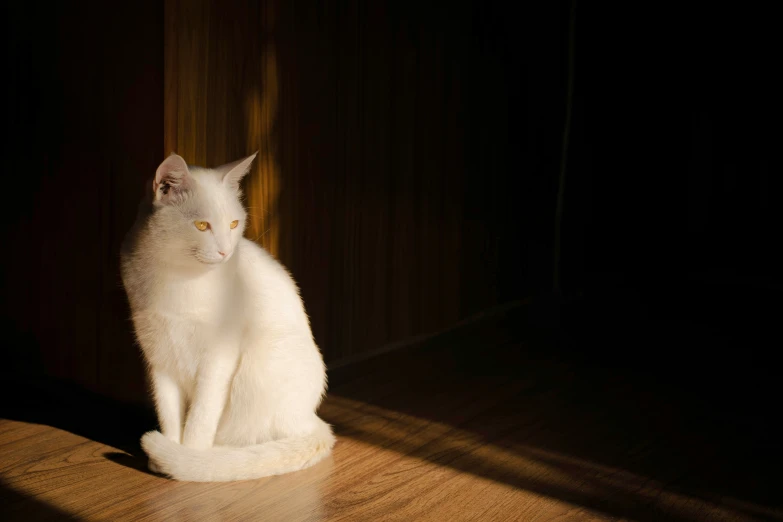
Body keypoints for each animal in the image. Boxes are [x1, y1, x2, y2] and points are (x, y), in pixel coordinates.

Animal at [119, 150, 334, 480]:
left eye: (233, 223)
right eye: (202, 225)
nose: (224, 252)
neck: (179, 278)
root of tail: (311, 418)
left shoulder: (217, 360)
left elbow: (200, 419)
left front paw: (187, 458)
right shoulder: (159, 357)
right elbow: (168, 413)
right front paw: (168, 452)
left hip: (259, 369)